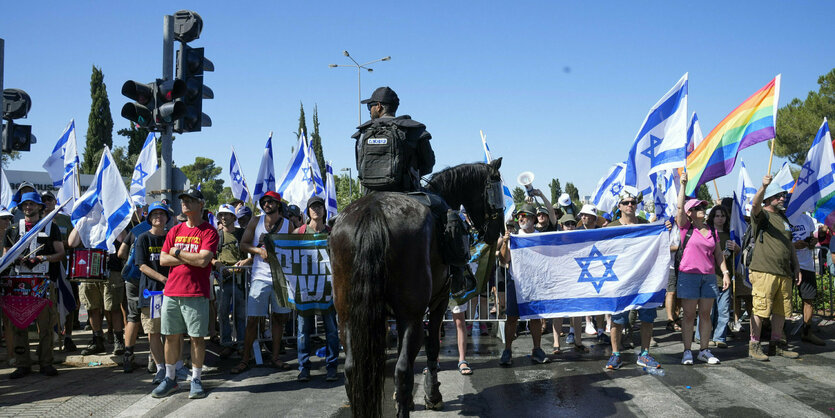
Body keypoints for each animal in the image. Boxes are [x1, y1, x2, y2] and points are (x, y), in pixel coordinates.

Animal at [332, 158, 502, 416]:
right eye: (497, 192)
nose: (497, 232)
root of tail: (373, 212)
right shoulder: (439, 301)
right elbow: (432, 347)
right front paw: (433, 395)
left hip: (348, 318)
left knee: (352, 371)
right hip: (411, 315)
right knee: (402, 369)